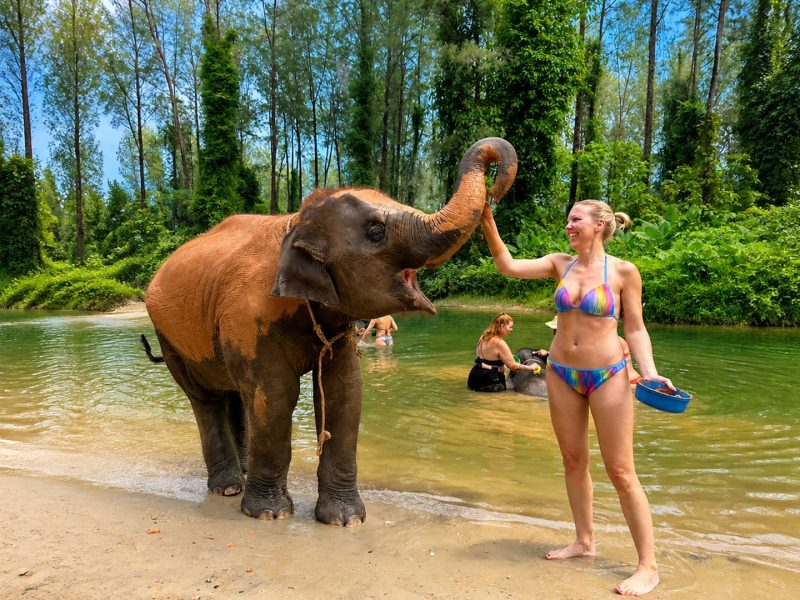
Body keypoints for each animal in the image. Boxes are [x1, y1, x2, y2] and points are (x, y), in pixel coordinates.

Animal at [142, 137, 517, 526]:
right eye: (376, 232)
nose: (495, 193)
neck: (295, 221)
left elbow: (345, 393)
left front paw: (345, 520)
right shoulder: (247, 317)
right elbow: (275, 396)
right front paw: (270, 514)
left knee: (238, 395)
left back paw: (243, 475)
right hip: (169, 337)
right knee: (207, 399)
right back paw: (229, 487)